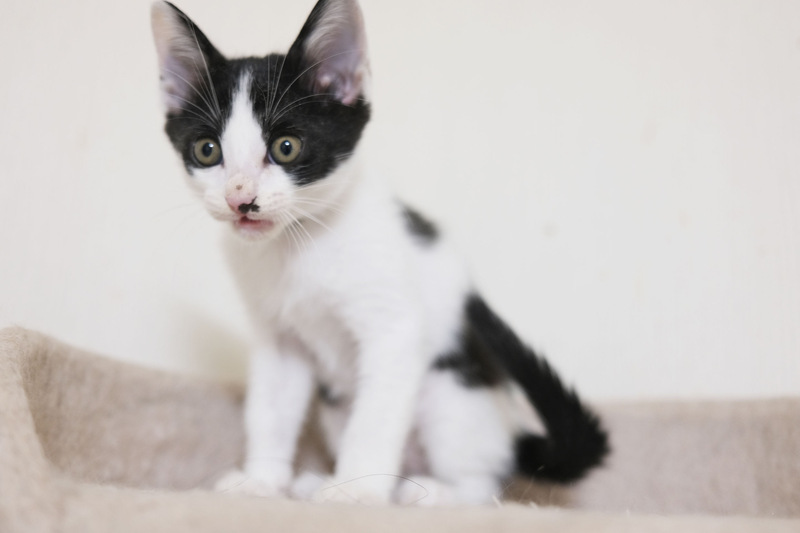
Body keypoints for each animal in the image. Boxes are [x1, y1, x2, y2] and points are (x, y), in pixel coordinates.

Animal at [151, 0, 608, 505]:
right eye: (206, 150)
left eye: (286, 147)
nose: (239, 198)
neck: (297, 247)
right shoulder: (279, 340)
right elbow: (270, 410)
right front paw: (262, 481)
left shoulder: (393, 330)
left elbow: (374, 420)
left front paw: (354, 493)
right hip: (339, 405)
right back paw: (324, 481)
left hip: (449, 390)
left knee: (486, 487)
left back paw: (430, 493)